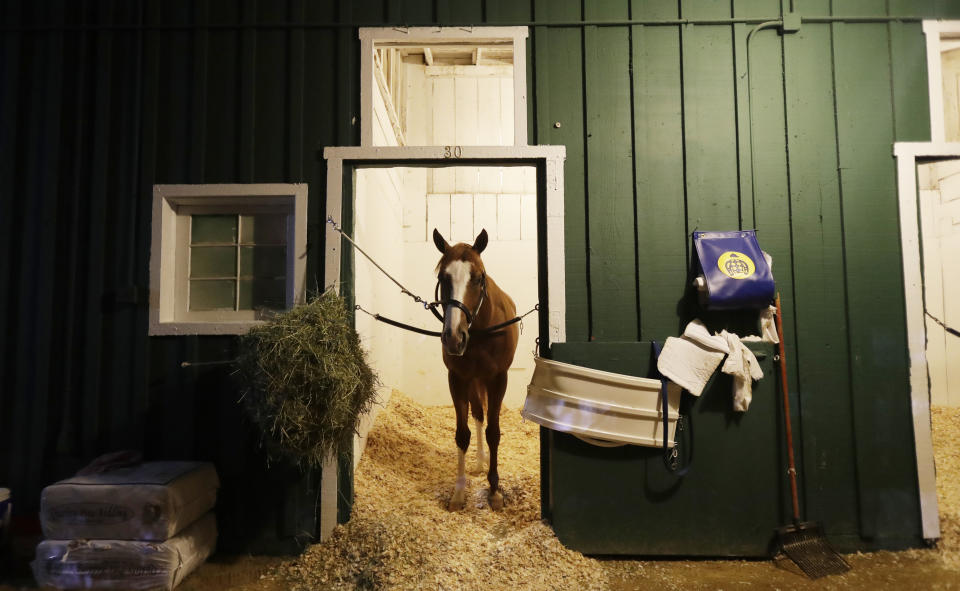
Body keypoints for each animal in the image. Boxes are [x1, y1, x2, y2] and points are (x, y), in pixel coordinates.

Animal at [434, 229, 516, 512]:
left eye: (478, 278)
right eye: (442, 277)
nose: (453, 337)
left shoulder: (498, 379)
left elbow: (494, 432)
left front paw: (495, 491)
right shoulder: (458, 379)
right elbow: (462, 434)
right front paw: (459, 493)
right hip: (472, 382)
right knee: (478, 414)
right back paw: (480, 462)